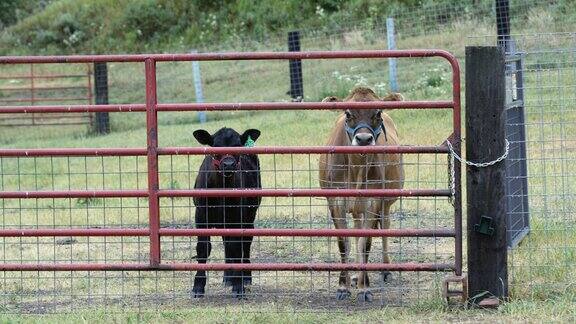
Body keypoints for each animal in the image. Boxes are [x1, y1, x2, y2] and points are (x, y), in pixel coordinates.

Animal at [190, 126, 262, 298]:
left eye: (237, 146)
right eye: (215, 146)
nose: (228, 164)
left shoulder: (237, 217)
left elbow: (236, 247)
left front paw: (239, 285)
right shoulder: (200, 215)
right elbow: (203, 248)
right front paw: (198, 286)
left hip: (249, 216)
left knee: (245, 243)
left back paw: (245, 277)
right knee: (227, 243)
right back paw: (228, 277)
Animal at [320, 86, 404, 302]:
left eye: (378, 113)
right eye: (348, 113)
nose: (364, 139)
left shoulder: (373, 201)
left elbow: (365, 243)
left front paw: (365, 288)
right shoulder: (335, 201)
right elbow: (345, 243)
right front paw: (343, 286)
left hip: (386, 200)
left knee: (384, 226)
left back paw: (384, 269)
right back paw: (355, 277)